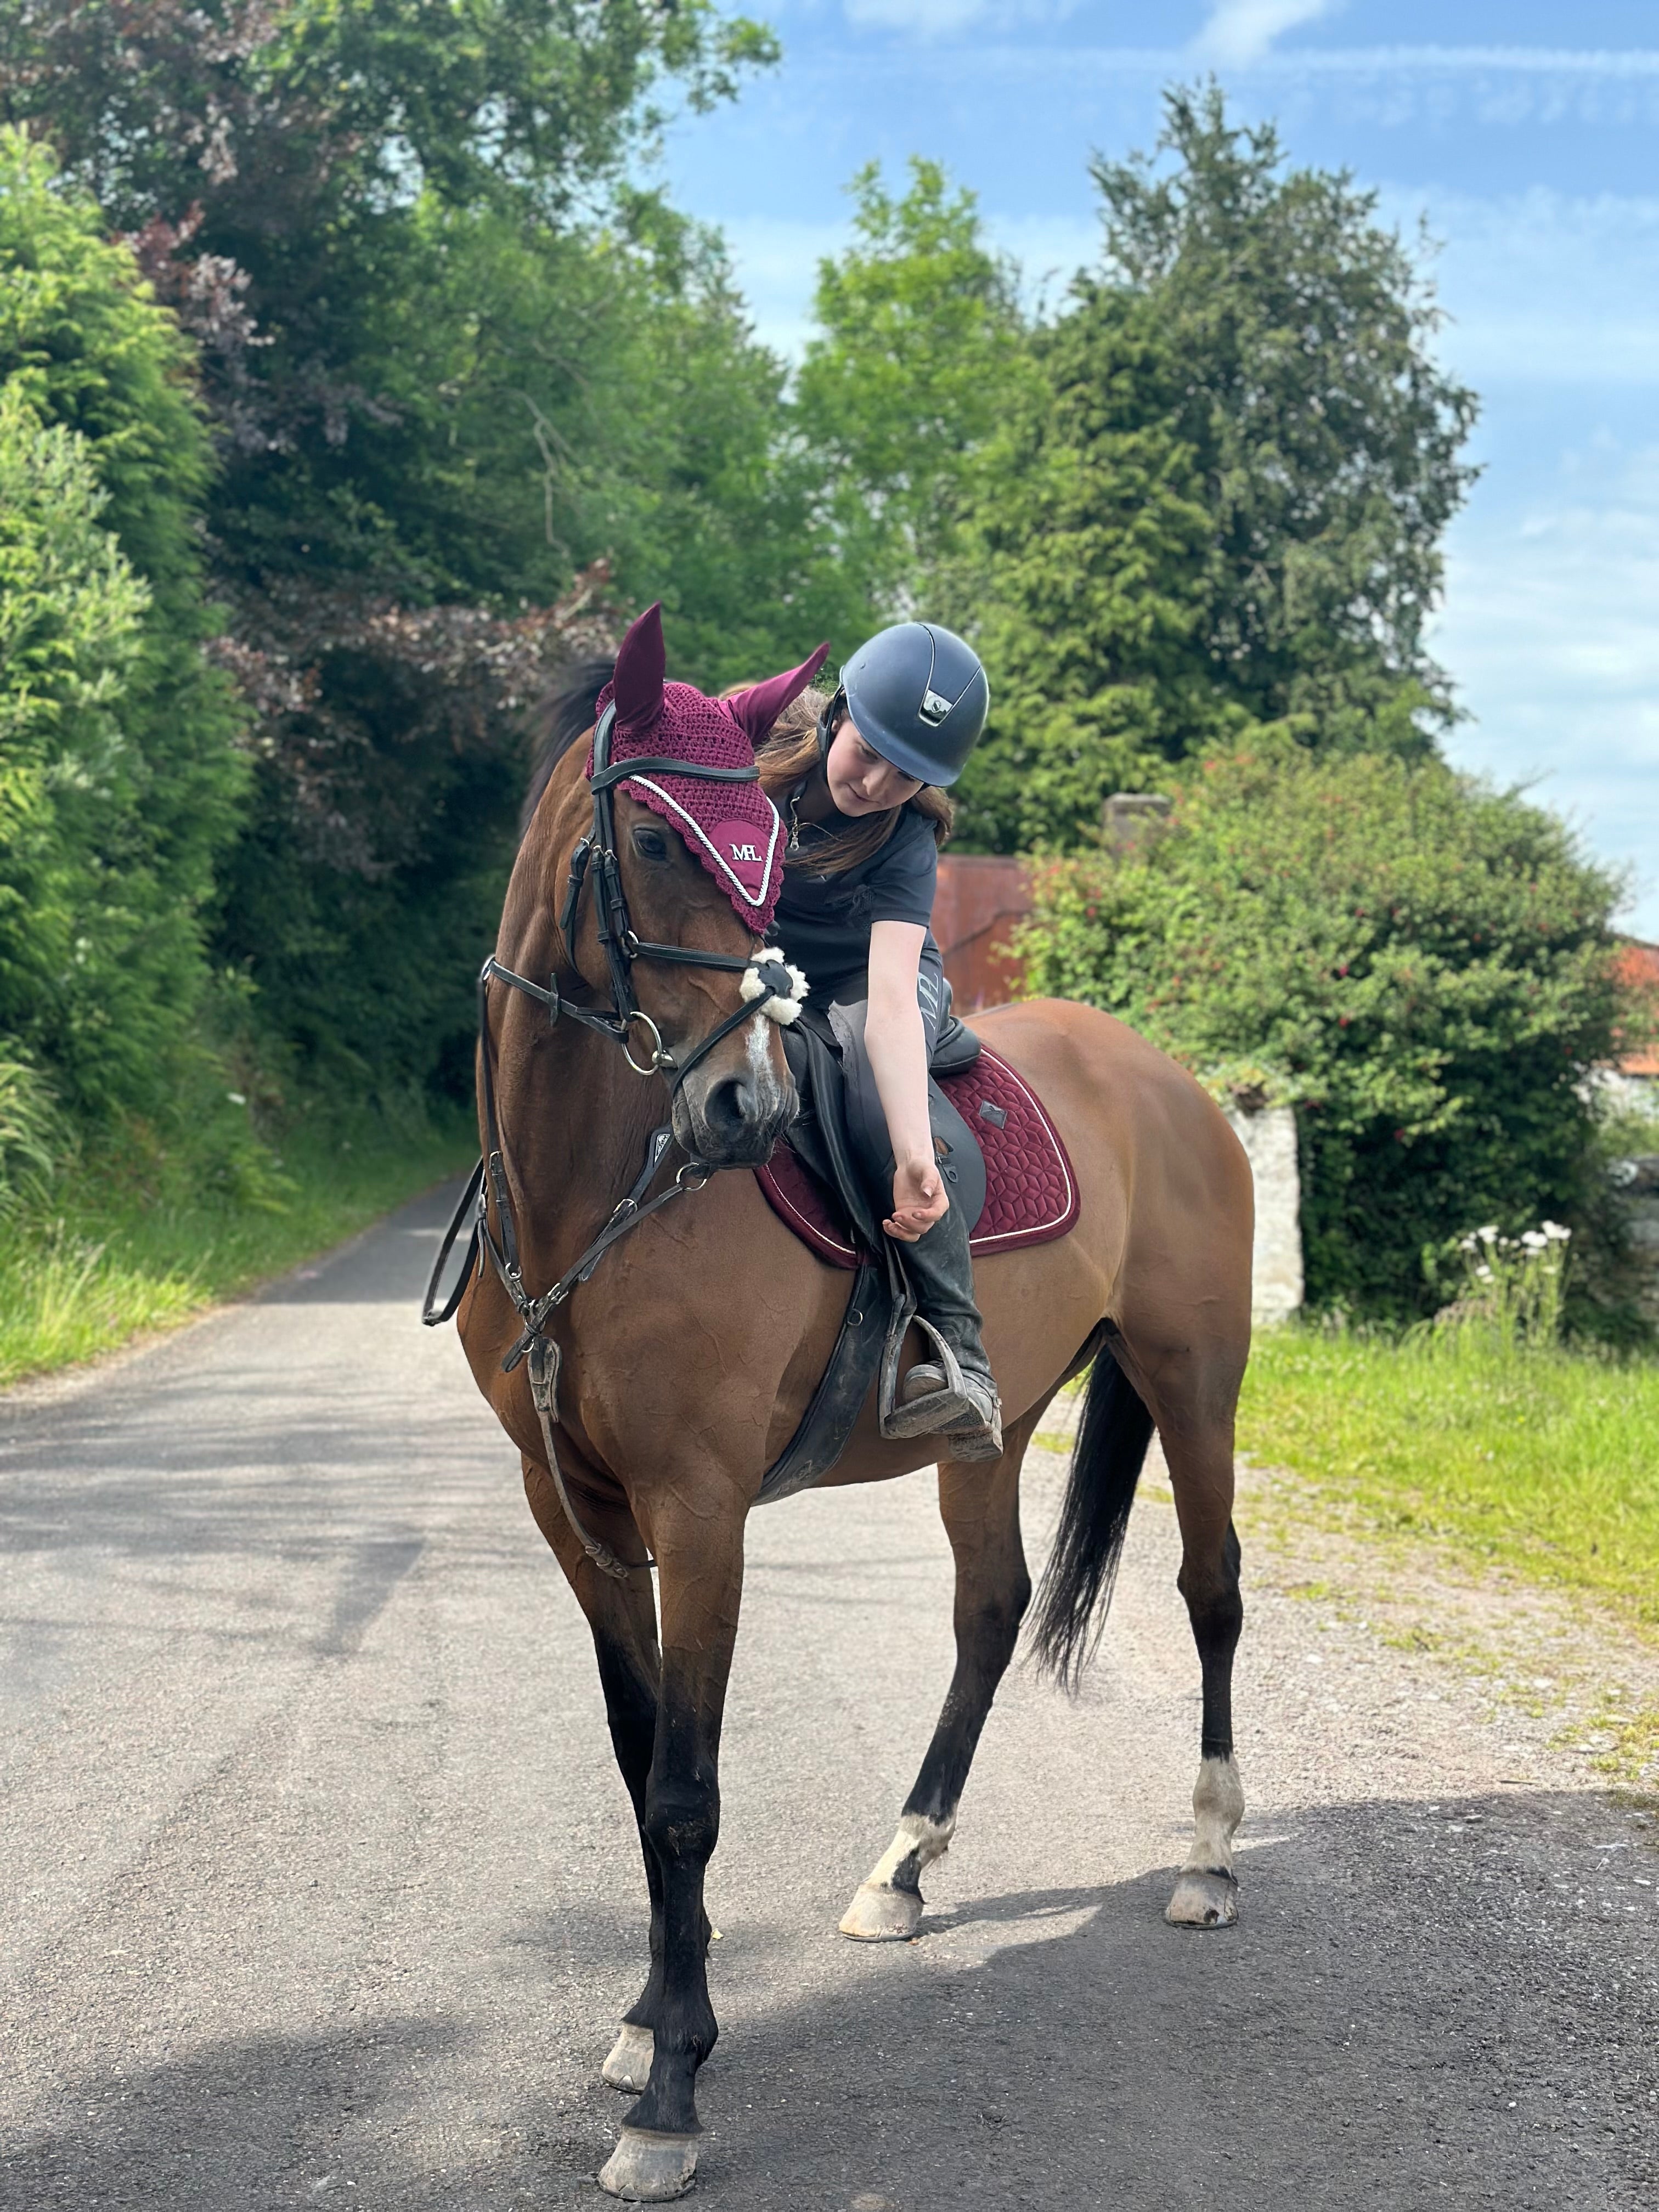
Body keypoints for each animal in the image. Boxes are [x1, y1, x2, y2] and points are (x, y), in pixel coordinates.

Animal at [446, 630, 1254, 2201]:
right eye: (656, 836)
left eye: (765, 857)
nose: (743, 1109)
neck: (599, 1196)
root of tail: (1173, 1080)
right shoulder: (570, 1505)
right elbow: (640, 1760)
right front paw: (645, 2021)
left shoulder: (700, 1509)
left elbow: (686, 1790)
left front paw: (672, 2093)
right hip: (991, 1431)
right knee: (992, 1609)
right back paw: (903, 1868)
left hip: (1195, 1378)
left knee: (1210, 1591)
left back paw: (1205, 1856)